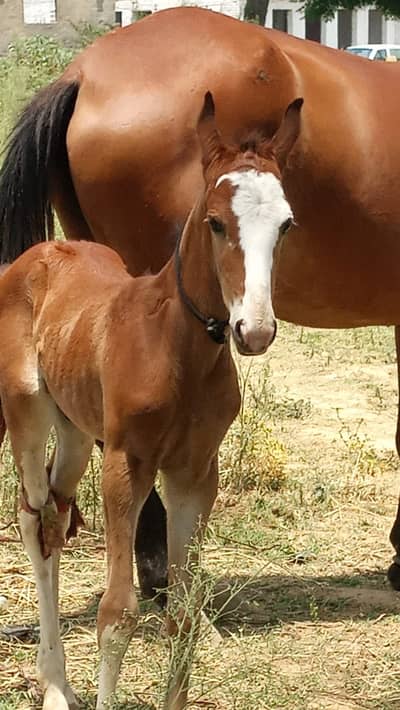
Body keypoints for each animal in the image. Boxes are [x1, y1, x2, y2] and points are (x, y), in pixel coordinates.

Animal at [0, 93, 302, 710]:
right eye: (216, 223)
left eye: (285, 224)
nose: (254, 330)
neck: (174, 345)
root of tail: (39, 252)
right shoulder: (127, 465)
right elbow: (117, 614)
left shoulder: (195, 472)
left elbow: (183, 612)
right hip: (27, 414)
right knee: (32, 519)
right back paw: (55, 685)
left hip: (75, 430)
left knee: (57, 517)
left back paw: (55, 680)